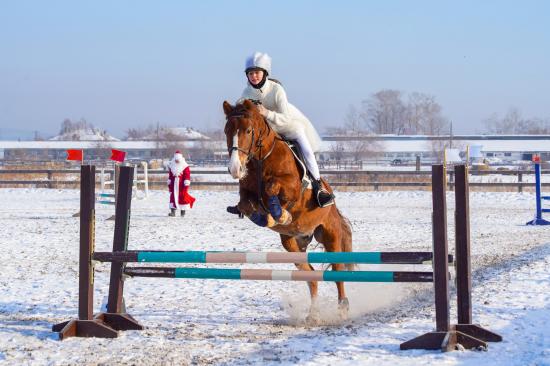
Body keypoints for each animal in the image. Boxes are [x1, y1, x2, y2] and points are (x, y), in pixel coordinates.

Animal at [223, 98, 354, 322]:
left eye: (248, 130)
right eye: (226, 131)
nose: (235, 169)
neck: (261, 159)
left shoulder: (292, 188)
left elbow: (272, 188)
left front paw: (280, 214)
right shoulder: (246, 194)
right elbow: (247, 205)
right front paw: (267, 218)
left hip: (330, 234)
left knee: (337, 272)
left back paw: (343, 308)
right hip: (293, 244)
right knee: (310, 276)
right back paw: (313, 315)